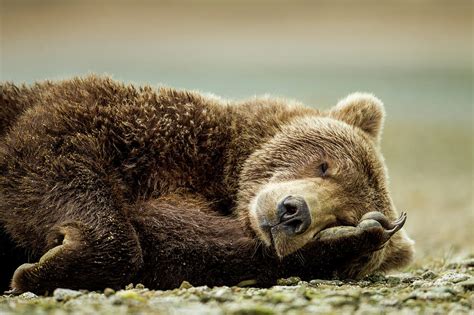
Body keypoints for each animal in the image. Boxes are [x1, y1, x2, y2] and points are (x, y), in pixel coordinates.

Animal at [0, 76, 412, 296]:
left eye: (343, 215)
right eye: (324, 165)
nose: (292, 212)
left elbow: (179, 246)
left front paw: (355, 237)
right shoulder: (143, 127)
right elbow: (54, 151)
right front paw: (43, 269)